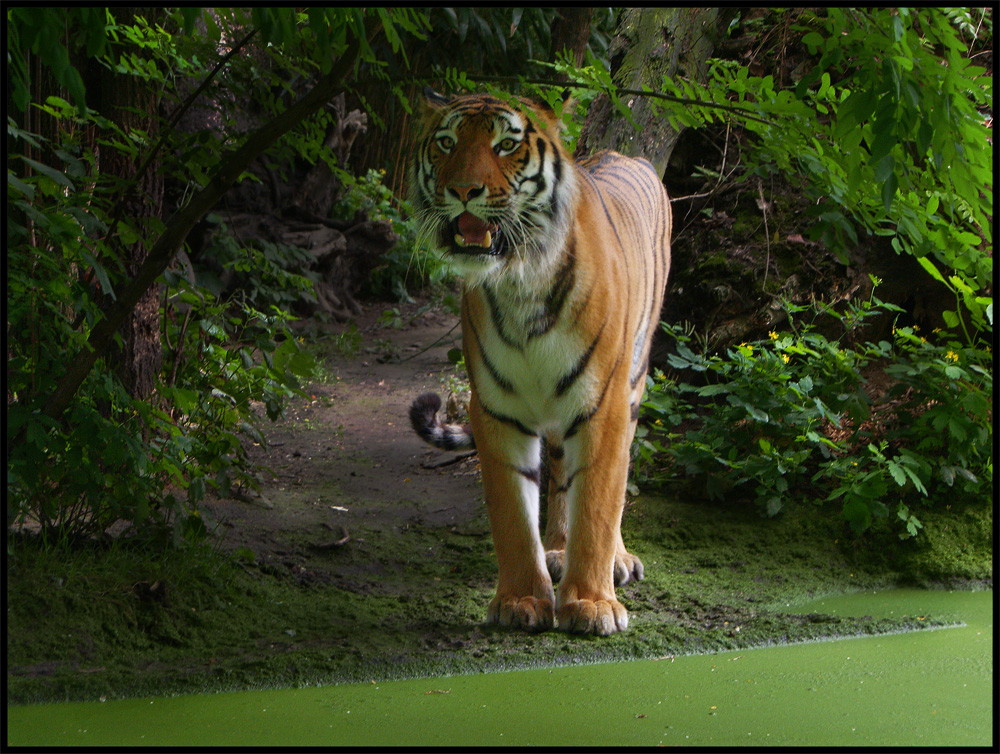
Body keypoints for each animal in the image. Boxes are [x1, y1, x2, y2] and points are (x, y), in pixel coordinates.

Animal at [406, 88, 672, 636]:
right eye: (446, 143)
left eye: (507, 145)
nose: (463, 191)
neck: (519, 280)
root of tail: (627, 156)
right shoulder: (496, 408)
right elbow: (512, 511)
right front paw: (521, 600)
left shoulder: (604, 403)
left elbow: (598, 502)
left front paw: (592, 603)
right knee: (560, 474)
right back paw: (556, 549)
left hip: (632, 381)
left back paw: (615, 560)